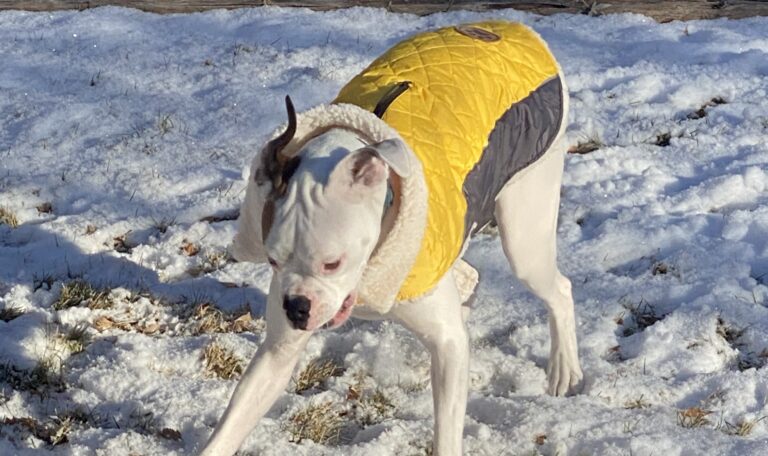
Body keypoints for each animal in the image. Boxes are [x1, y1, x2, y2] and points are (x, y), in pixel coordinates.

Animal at [200, 21, 584, 456]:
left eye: (332, 263)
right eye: (273, 260)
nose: (296, 308)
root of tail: (513, 27)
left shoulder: (446, 339)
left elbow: (447, 429)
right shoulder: (278, 352)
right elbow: (234, 421)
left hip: (525, 231)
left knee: (558, 289)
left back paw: (564, 369)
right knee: (470, 278)